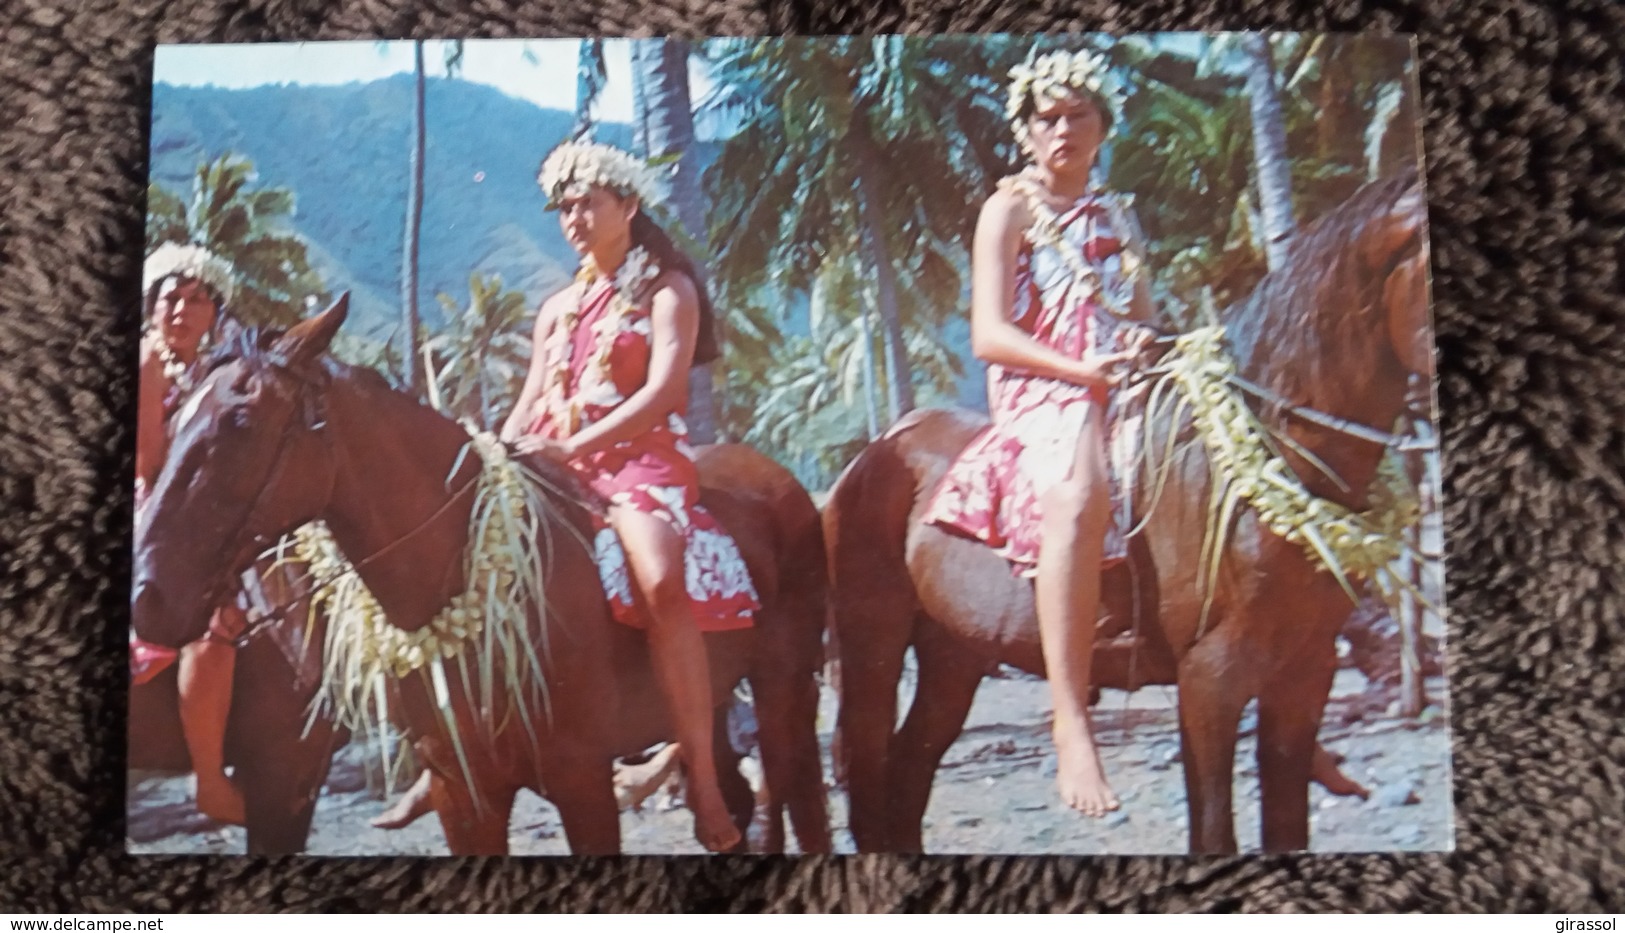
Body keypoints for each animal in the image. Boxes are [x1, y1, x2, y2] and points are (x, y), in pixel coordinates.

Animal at [832, 173, 1430, 858]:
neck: (1270, 459)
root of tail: (877, 451)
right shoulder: (1209, 680)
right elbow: (1213, 830)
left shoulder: (1305, 672)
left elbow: (1287, 826)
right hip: (873, 642)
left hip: (954, 653)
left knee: (909, 771)